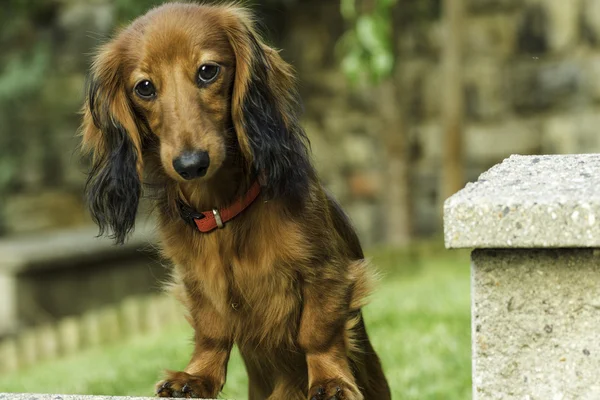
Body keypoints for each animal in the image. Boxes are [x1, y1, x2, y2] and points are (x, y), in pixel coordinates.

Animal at [79, 3, 392, 400]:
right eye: (144, 87)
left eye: (207, 71)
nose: (191, 164)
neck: (222, 210)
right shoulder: (197, 281)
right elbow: (212, 331)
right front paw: (196, 378)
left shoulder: (325, 270)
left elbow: (317, 330)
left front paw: (329, 380)